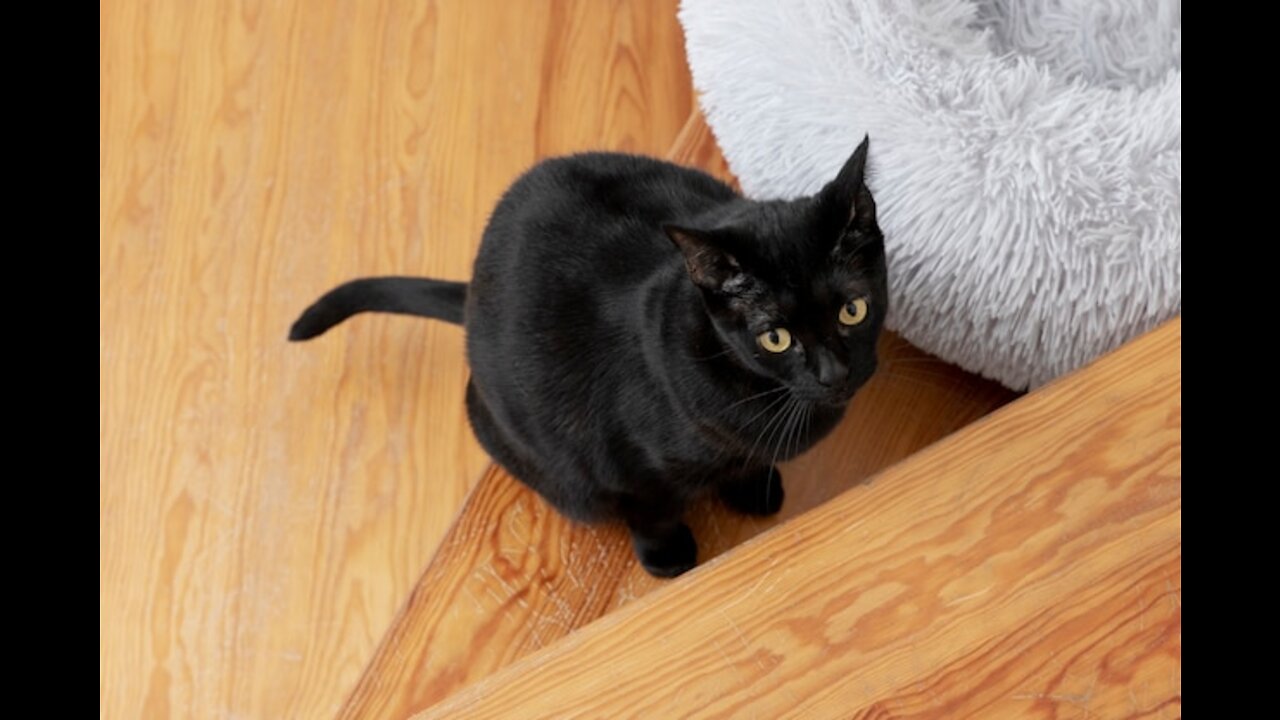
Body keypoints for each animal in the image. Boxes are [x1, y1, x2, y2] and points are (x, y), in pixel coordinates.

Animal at [293, 135, 885, 576]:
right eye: (775, 337)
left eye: (852, 310)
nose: (835, 372)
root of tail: (471, 288)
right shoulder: (625, 463)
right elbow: (650, 510)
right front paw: (669, 558)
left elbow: (748, 460)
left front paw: (754, 488)